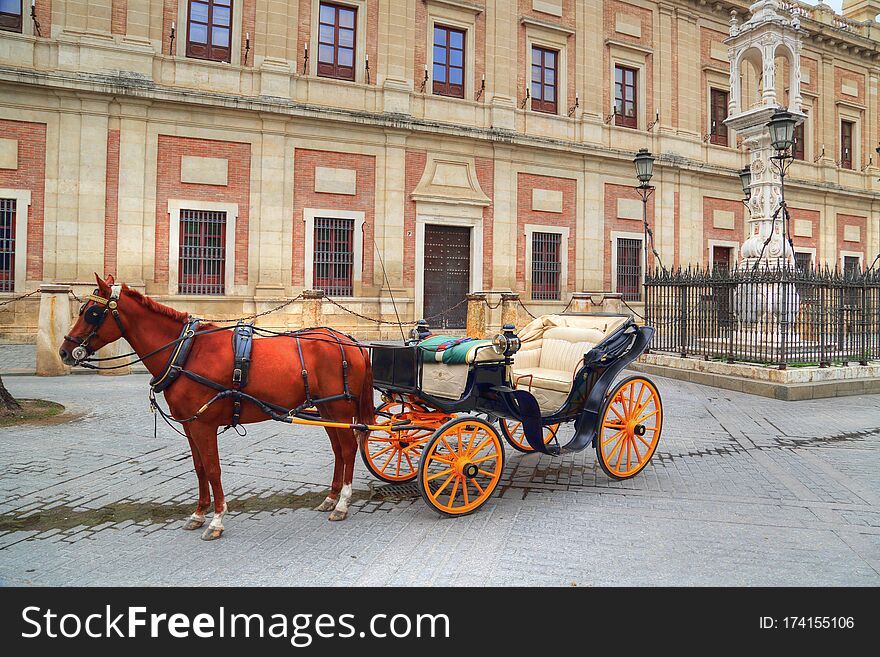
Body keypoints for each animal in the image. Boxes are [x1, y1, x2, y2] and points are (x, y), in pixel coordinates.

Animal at [57, 272, 374, 540]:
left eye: (91, 312)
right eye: (83, 309)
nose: (64, 351)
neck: (186, 352)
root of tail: (350, 342)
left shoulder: (204, 425)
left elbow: (213, 469)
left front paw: (217, 520)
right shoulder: (190, 425)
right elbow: (199, 469)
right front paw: (199, 513)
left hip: (339, 410)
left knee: (348, 449)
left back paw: (342, 503)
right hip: (327, 411)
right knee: (338, 450)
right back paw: (331, 498)